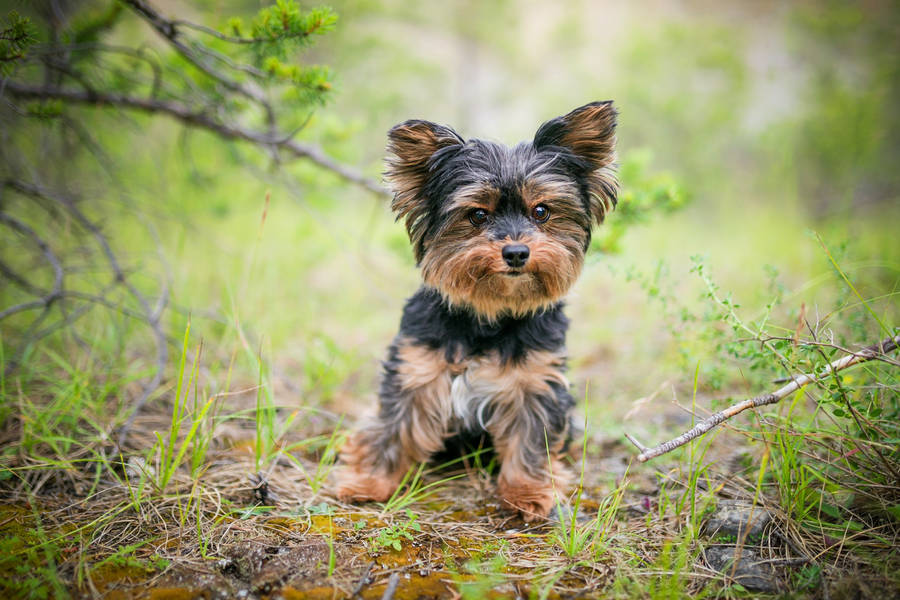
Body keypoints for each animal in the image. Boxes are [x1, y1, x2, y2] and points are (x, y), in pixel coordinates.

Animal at [336, 101, 620, 516]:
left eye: (541, 211)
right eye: (478, 215)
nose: (516, 252)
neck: (490, 315)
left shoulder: (536, 381)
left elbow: (531, 438)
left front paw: (528, 492)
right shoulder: (416, 371)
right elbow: (395, 428)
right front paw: (369, 481)